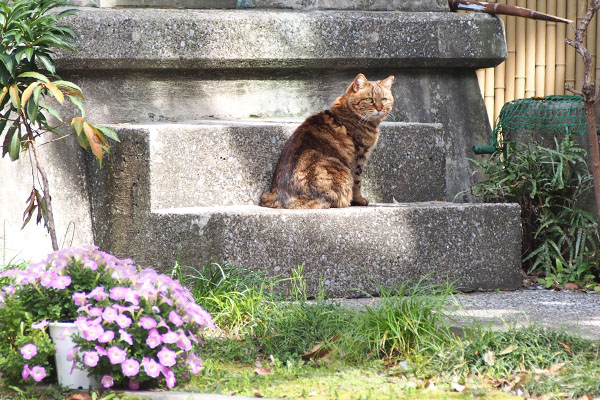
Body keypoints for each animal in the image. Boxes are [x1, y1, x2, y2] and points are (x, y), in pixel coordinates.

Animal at [258, 72, 394, 209]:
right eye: (369, 100)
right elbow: (357, 182)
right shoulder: (359, 158)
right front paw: (359, 200)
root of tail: (281, 198)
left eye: (384, 100)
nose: (379, 108)